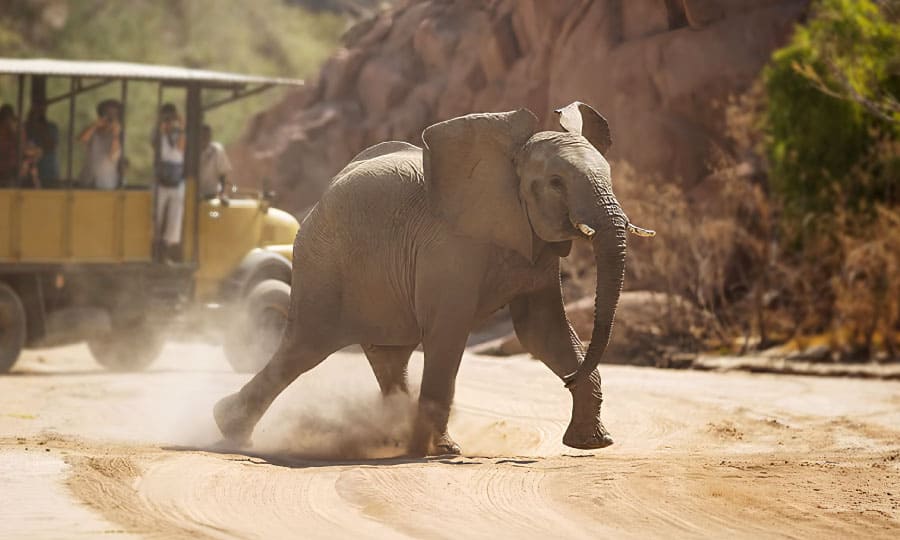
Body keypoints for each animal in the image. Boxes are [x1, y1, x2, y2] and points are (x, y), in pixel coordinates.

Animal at [214, 101, 655, 456]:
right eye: (556, 183)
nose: (567, 380)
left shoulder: (534, 246)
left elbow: (541, 331)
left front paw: (593, 443)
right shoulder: (448, 250)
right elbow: (448, 331)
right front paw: (441, 452)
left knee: (389, 355)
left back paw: (390, 438)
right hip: (322, 263)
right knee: (304, 347)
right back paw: (228, 428)